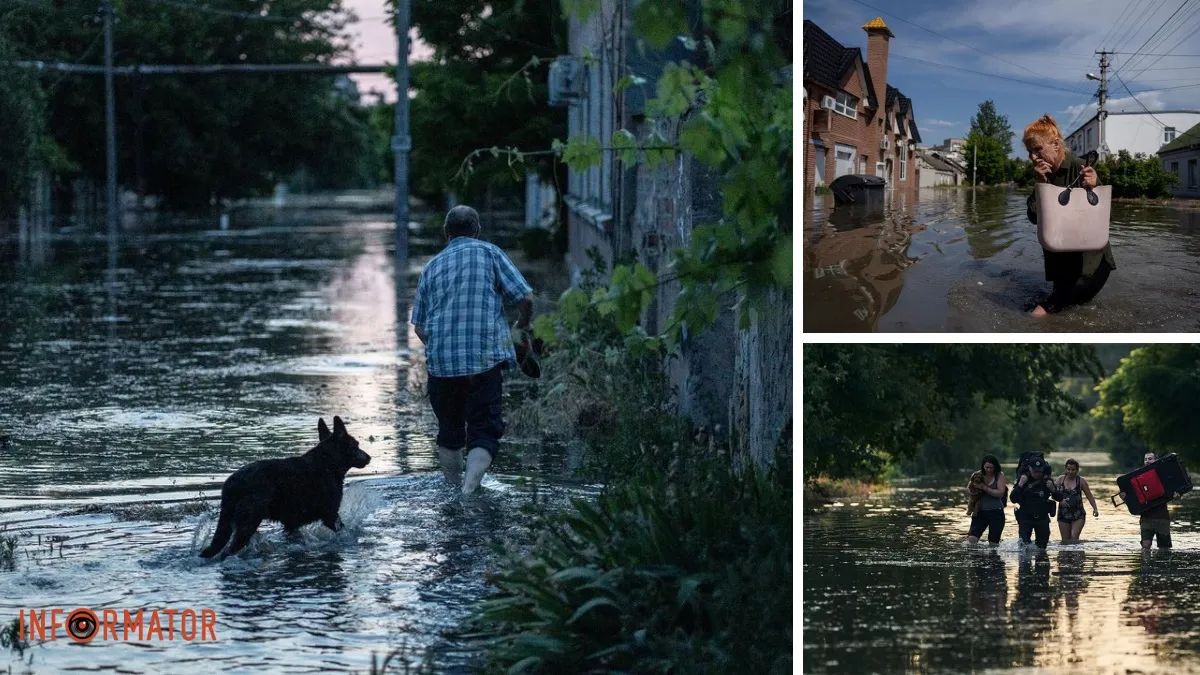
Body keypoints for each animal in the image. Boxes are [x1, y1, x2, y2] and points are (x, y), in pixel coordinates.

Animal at [199, 415, 367, 557]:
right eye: (356, 445)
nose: (369, 457)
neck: (329, 463)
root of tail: (231, 485)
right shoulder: (331, 516)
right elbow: (345, 531)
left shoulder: (292, 524)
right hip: (248, 523)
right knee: (228, 550)